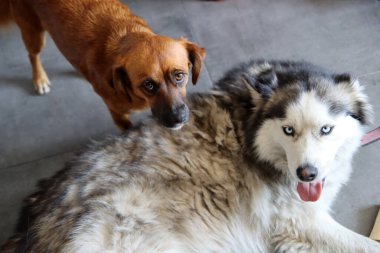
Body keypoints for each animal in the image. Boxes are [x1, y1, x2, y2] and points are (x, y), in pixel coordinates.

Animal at [0, 0, 206, 130]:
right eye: (148, 85)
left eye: (179, 76)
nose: (178, 119)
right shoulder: (118, 116)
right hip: (33, 32)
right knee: (32, 55)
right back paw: (39, 79)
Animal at [1, 60, 378, 252]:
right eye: (288, 131)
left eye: (326, 130)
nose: (306, 174)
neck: (246, 122)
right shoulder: (298, 224)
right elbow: (366, 245)